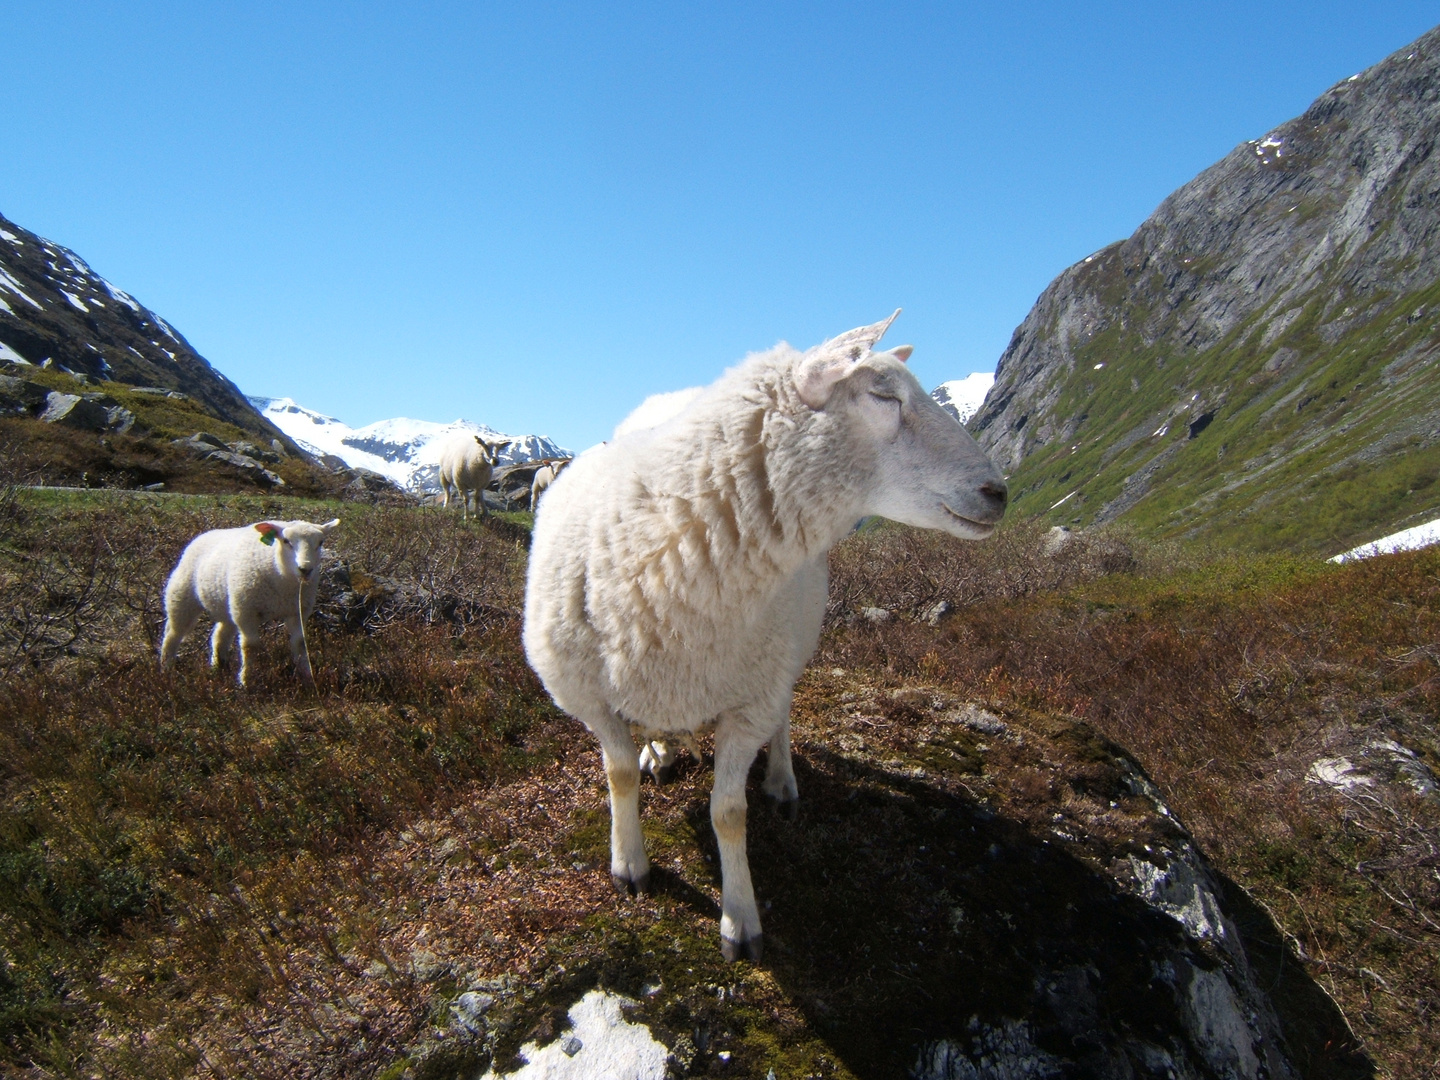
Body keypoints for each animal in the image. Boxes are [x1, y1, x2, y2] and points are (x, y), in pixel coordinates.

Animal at [159, 515, 338, 685]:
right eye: (286, 541)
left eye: (321, 542)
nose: (305, 569)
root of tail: (202, 536)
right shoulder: (246, 612)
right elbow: (250, 646)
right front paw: (247, 681)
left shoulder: (298, 611)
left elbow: (300, 643)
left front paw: (308, 678)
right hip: (182, 597)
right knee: (173, 634)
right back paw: (166, 668)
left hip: (228, 605)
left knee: (219, 635)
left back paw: (218, 668)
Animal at [524, 312, 1008, 961]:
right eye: (883, 396)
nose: (998, 493)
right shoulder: (587, 696)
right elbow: (619, 774)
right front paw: (630, 865)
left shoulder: (749, 703)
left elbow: (729, 813)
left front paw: (740, 919)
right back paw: (662, 748)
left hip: (792, 646)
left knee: (784, 715)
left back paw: (780, 779)